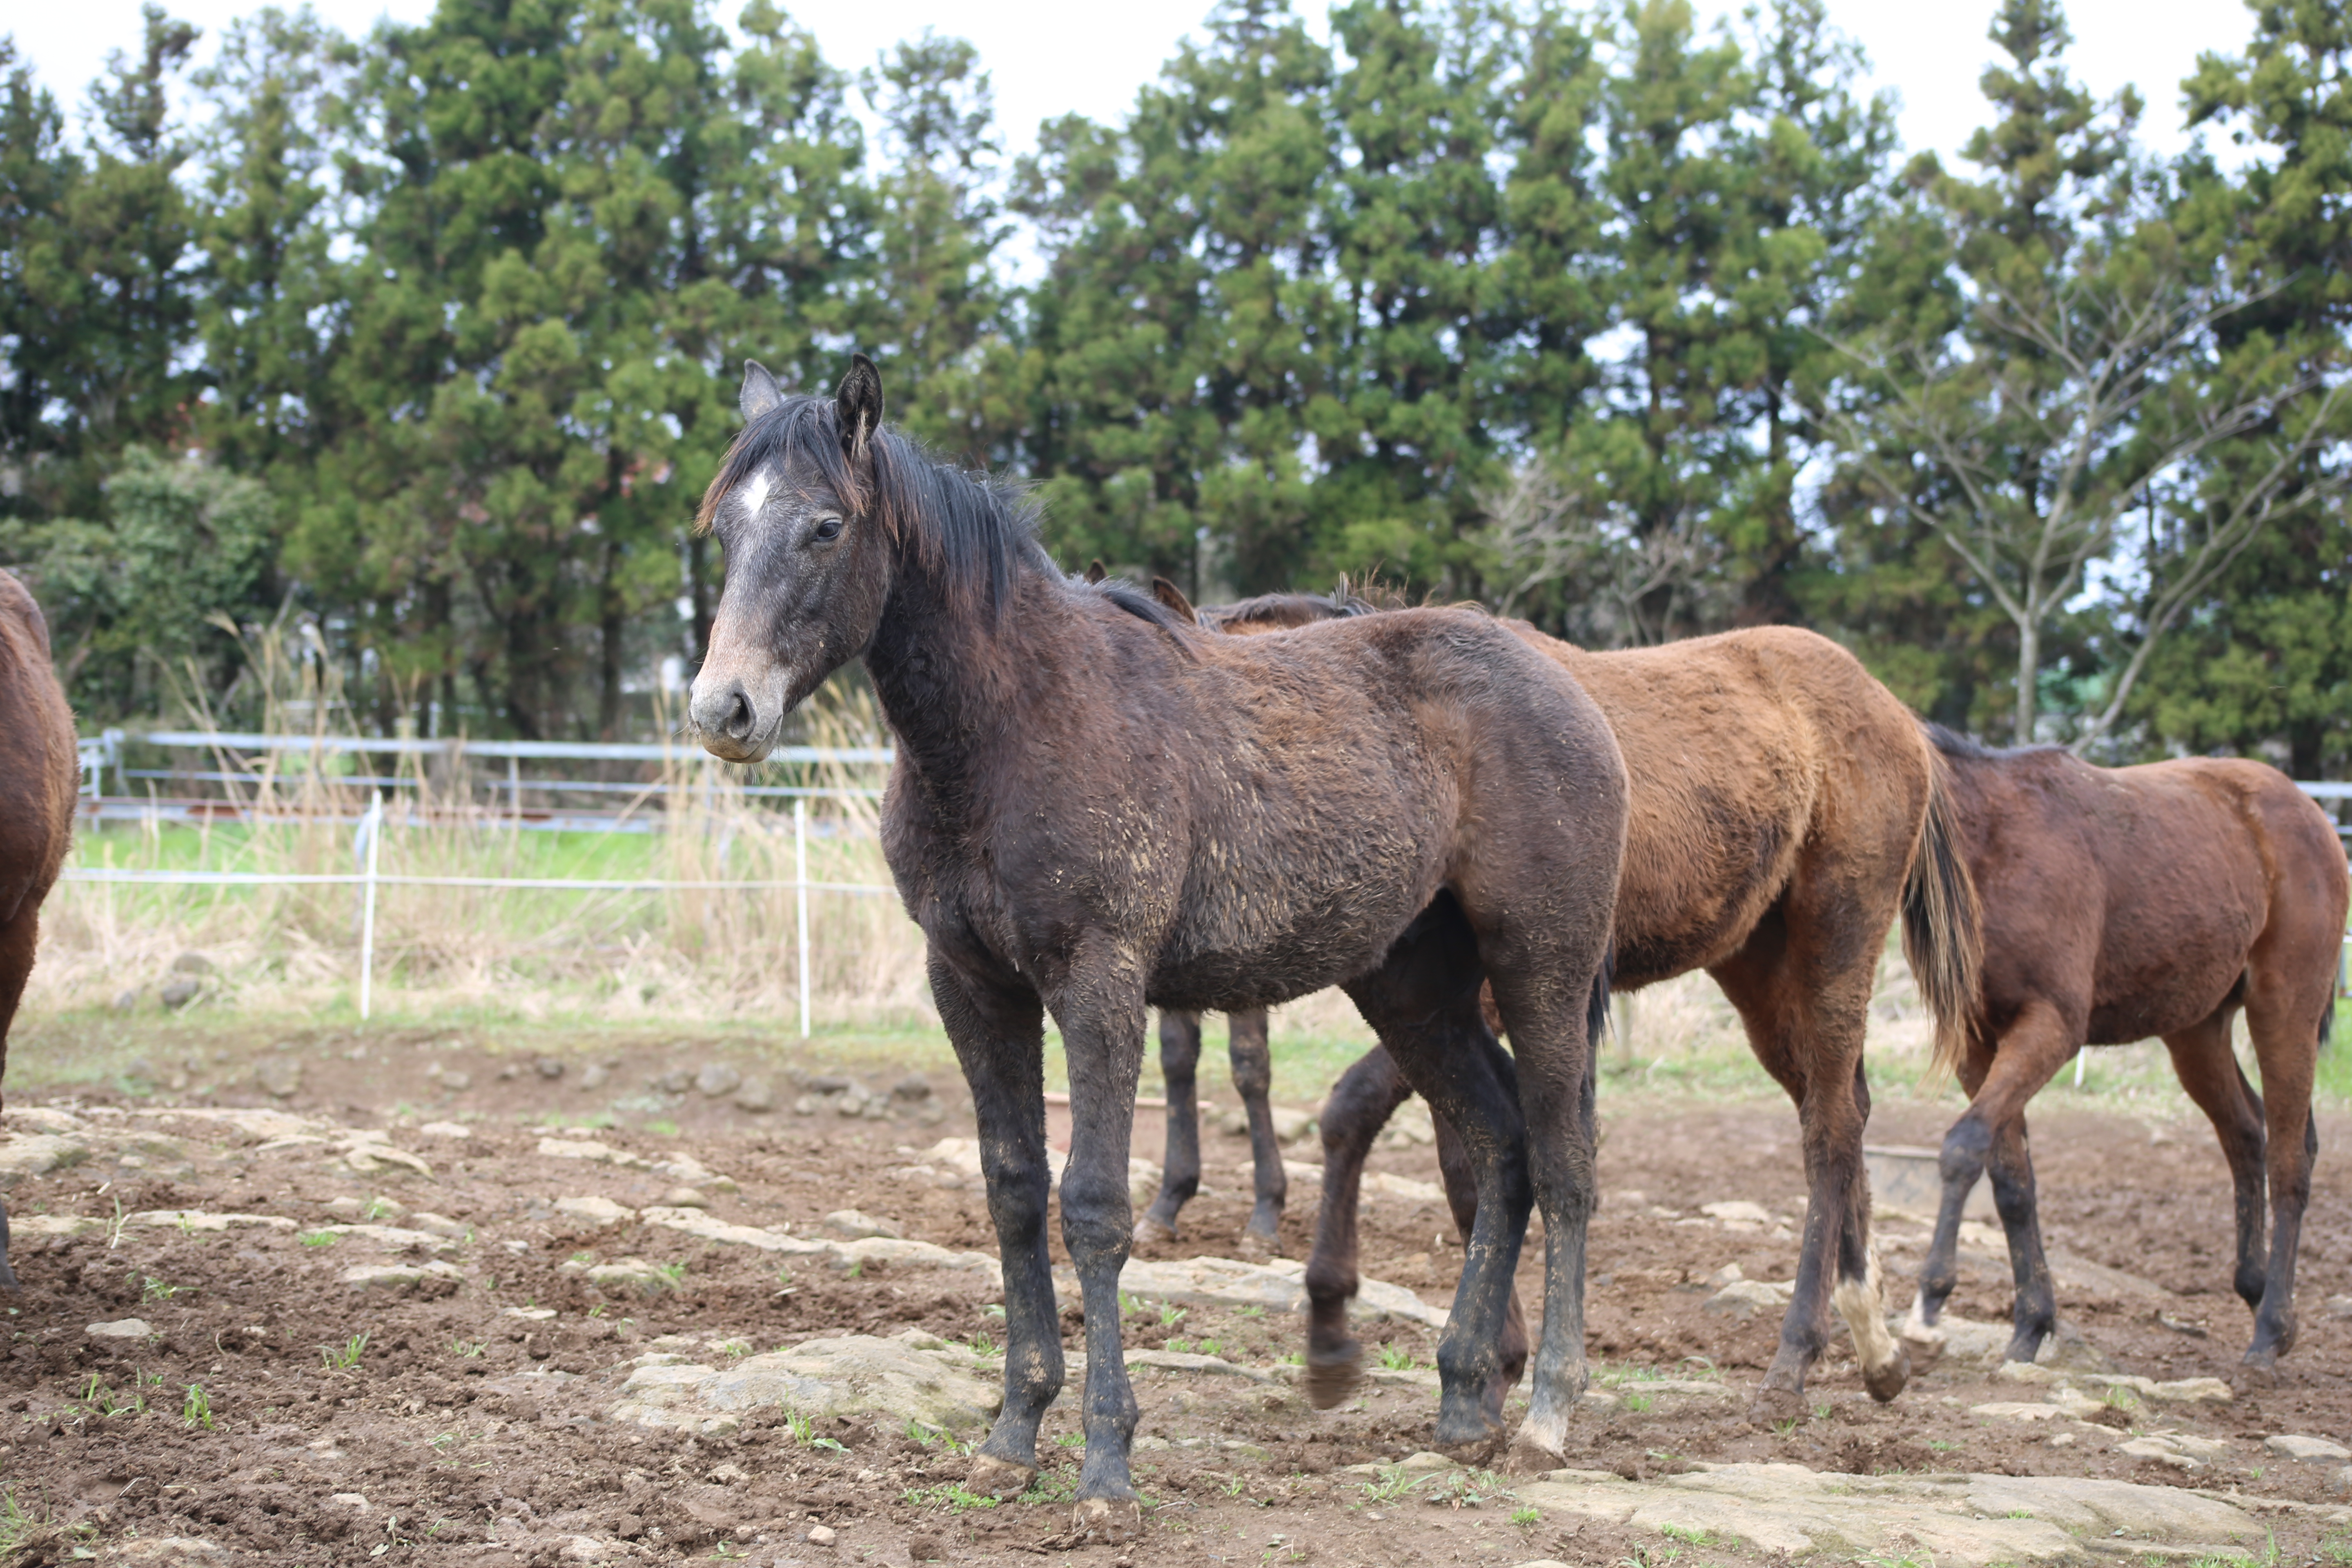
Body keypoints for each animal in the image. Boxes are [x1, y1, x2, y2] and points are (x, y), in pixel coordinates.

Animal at [686, 362, 1627, 1523]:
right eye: (724, 528)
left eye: (825, 526)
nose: (724, 709)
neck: (1014, 726)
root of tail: (1564, 684)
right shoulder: (970, 985)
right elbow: (1011, 1192)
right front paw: (1012, 1432)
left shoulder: (1100, 980)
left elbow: (1093, 1206)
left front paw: (1105, 1464)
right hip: (1412, 988)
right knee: (1497, 1146)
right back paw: (1459, 1405)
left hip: (1543, 968)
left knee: (1564, 1161)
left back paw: (1545, 1413)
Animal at [1138, 585, 1985, 1420]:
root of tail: (1893, 710)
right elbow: (1469, 1160)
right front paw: (1497, 1360)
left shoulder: (1482, 1004)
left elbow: (1383, 1122)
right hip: (1759, 971)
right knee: (1841, 1108)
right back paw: (1876, 1346)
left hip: (1836, 943)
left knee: (1829, 1132)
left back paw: (1795, 1358)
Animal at [1910, 728, 2352, 1382]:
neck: (1988, 842)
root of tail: (2312, 813)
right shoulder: (1978, 1043)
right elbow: (2011, 1179)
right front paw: (2030, 1327)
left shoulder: (2050, 1027)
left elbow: (1964, 1146)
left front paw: (1933, 1296)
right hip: (2197, 1032)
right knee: (2247, 1133)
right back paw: (2261, 1295)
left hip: (2285, 1009)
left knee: (2291, 1159)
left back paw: (2271, 1331)